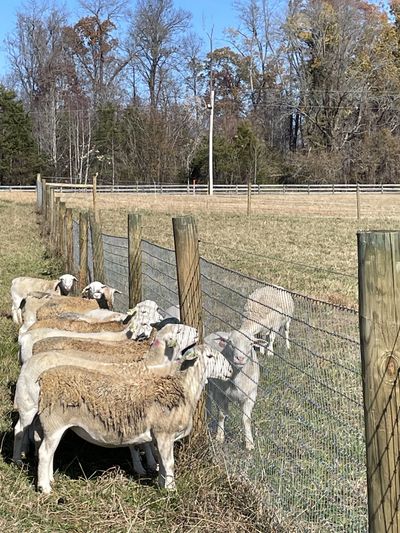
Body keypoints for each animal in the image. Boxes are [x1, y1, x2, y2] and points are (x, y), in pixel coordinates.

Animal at [13, 322, 199, 472]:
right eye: (179, 331)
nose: (197, 331)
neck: (151, 364)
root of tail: (30, 360)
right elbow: (141, 442)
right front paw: (148, 465)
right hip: (28, 403)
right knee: (19, 429)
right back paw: (18, 459)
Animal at [36, 342, 233, 492]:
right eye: (210, 356)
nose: (231, 371)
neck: (183, 388)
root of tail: (44, 379)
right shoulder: (164, 433)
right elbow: (169, 463)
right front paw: (171, 490)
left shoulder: (159, 436)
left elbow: (162, 462)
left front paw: (161, 484)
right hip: (54, 423)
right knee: (44, 453)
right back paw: (45, 488)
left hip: (50, 426)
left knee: (47, 450)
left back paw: (50, 479)